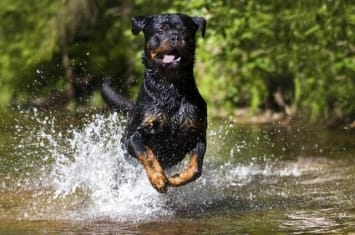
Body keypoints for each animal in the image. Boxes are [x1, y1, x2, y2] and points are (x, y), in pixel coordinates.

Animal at [103, 12, 207, 193]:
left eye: (183, 30)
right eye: (160, 31)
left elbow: (196, 168)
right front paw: (158, 178)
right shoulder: (133, 137)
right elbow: (147, 154)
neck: (171, 88)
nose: (175, 36)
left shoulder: (198, 134)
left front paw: (176, 179)